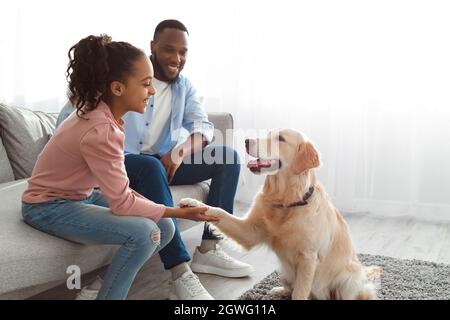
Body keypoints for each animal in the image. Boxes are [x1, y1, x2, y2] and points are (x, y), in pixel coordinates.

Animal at [178, 129, 382, 300]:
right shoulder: (249, 232)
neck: (286, 202)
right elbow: (218, 211)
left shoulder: (308, 258)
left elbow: (300, 293)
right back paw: (279, 290)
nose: (246, 141)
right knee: (289, 287)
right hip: (284, 270)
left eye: (281, 139)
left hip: (348, 278)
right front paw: (193, 203)